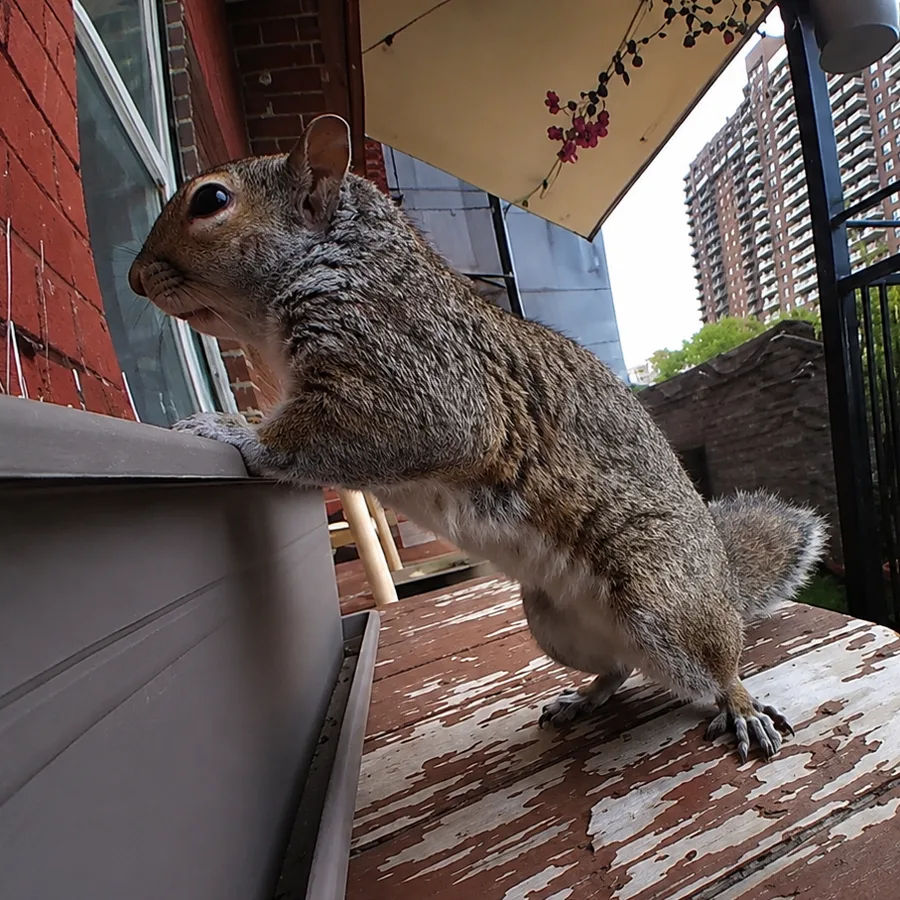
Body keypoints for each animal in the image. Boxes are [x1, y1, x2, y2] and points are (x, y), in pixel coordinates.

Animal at [128, 114, 827, 764]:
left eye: (212, 200)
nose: (134, 278)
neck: (342, 264)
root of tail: (724, 584)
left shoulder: (419, 374)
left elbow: (346, 431)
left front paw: (227, 428)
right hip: (552, 621)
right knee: (619, 667)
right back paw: (582, 698)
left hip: (662, 598)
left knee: (716, 664)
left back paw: (740, 705)